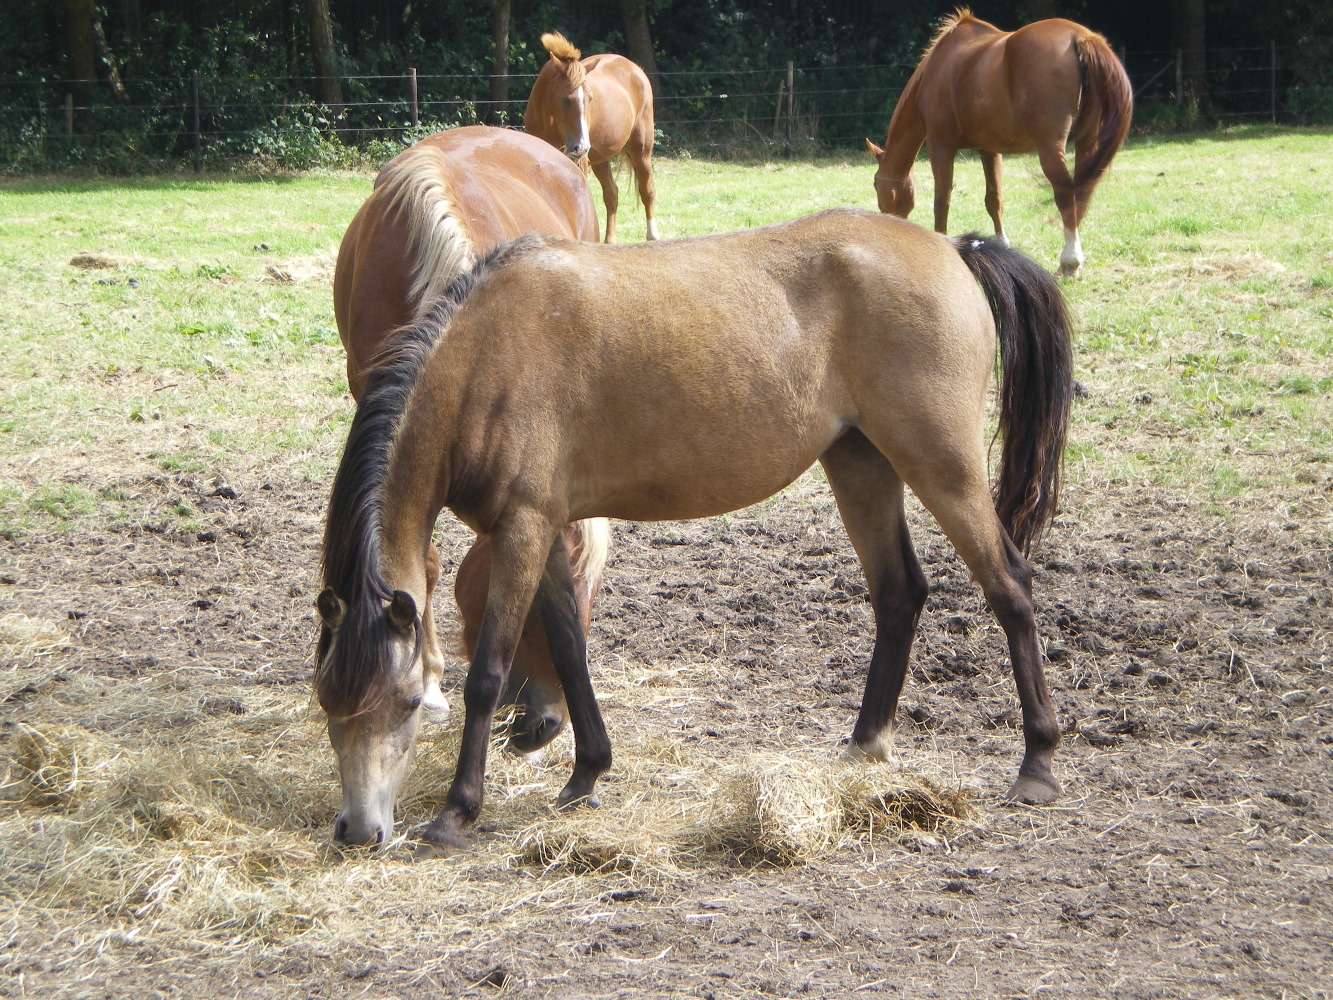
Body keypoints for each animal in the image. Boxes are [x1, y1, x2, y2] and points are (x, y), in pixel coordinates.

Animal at [311, 208, 1071, 848]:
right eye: (327, 704)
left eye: (408, 703)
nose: (359, 830)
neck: (484, 358)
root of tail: (952, 246)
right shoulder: (539, 529)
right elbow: (570, 650)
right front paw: (587, 773)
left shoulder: (522, 528)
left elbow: (488, 673)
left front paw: (456, 812)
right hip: (860, 463)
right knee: (898, 593)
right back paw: (864, 745)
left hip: (941, 465)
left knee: (1009, 587)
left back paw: (1037, 761)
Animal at [525, 32, 661, 244]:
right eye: (565, 100)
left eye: (589, 99)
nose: (581, 147)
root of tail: (633, 67)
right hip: (601, 159)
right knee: (612, 193)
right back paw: (610, 240)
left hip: (641, 149)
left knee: (647, 190)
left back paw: (652, 235)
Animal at [863, 8, 1135, 278]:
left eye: (875, 183)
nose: (888, 223)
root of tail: (1080, 37)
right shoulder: (989, 150)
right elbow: (994, 199)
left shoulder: (941, 145)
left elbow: (942, 200)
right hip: (1086, 140)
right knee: (1081, 192)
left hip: (1050, 147)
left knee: (1066, 194)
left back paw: (1070, 260)